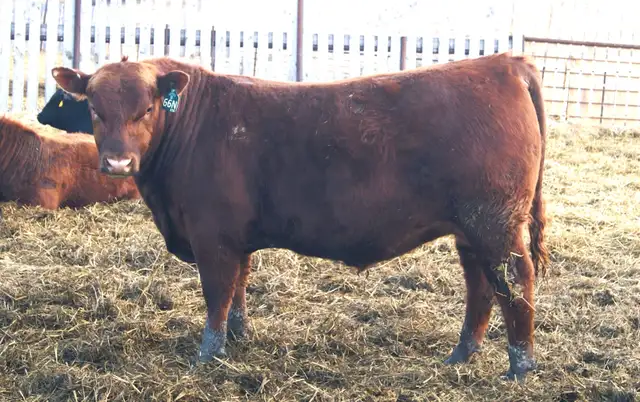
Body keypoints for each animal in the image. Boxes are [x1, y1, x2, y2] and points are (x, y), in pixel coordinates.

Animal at [51, 51, 549, 381]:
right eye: (93, 108)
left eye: (147, 108)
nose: (117, 163)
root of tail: (505, 63)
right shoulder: (237, 238)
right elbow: (239, 290)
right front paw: (239, 338)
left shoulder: (213, 238)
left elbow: (217, 295)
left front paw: (208, 355)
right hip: (470, 230)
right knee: (481, 288)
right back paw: (461, 355)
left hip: (495, 225)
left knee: (515, 283)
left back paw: (520, 367)